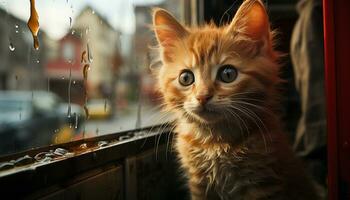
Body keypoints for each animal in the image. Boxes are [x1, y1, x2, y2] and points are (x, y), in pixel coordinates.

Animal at [151, 0, 320, 199]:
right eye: (186, 78)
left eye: (228, 74)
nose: (202, 96)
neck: (215, 142)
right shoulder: (200, 185)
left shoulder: (262, 183)